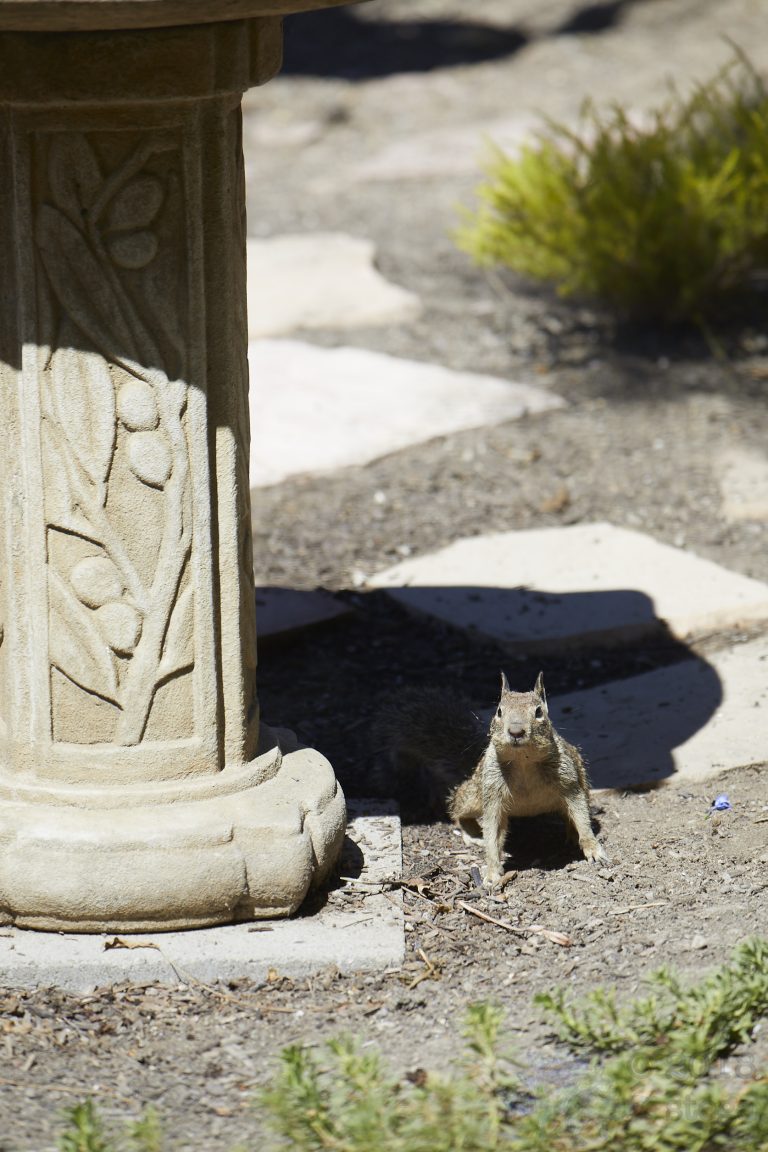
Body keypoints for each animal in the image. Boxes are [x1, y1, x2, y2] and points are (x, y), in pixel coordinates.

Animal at [372, 671, 606, 886]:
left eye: (539, 712)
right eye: (499, 711)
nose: (516, 731)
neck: (523, 762)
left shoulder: (570, 783)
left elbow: (580, 814)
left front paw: (593, 848)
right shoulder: (492, 794)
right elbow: (492, 830)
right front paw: (492, 870)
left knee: (571, 813)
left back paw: (571, 832)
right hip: (473, 795)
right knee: (457, 810)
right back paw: (473, 833)